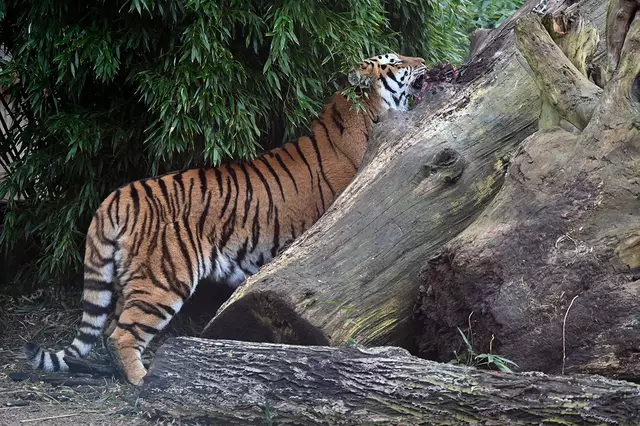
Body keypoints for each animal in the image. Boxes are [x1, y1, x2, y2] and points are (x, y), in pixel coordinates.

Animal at [25, 53, 427, 385]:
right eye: (394, 62)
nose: (424, 60)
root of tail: (118, 195)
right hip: (162, 280)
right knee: (122, 334)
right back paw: (143, 380)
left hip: (130, 280)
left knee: (109, 329)